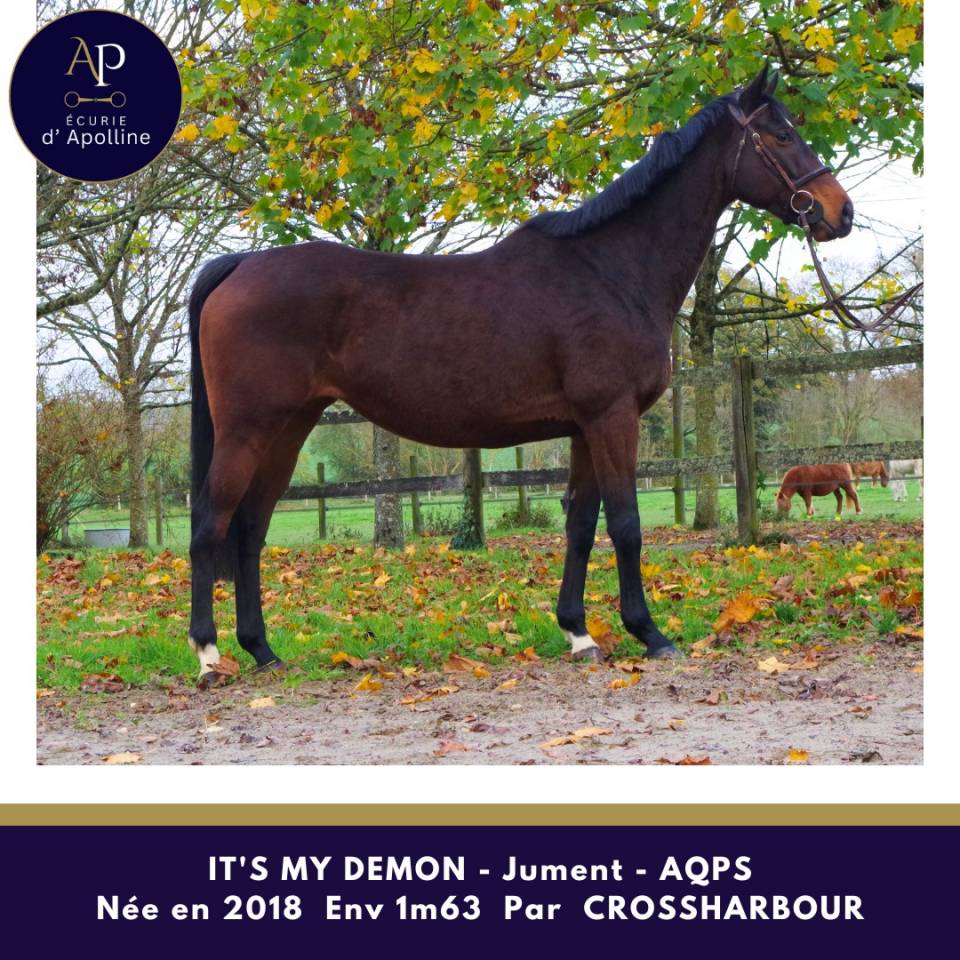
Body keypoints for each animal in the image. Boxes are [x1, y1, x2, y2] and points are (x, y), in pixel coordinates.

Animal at [187, 65, 853, 682]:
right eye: (782, 134)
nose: (840, 213)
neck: (610, 270)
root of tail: (241, 264)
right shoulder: (613, 418)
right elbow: (627, 524)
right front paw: (650, 633)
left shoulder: (584, 428)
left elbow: (581, 526)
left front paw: (579, 634)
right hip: (249, 430)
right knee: (209, 523)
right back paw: (208, 655)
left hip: (288, 429)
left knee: (250, 528)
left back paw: (263, 651)